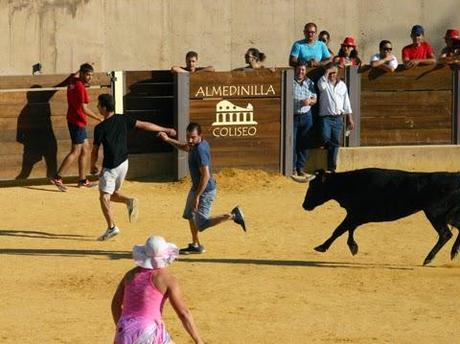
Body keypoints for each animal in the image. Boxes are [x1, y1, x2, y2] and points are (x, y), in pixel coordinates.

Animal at [300, 168, 460, 264]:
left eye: (313, 186)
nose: (304, 205)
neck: (350, 184)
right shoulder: (355, 215)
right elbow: (348, 229)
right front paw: (353, 247)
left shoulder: (355, 214)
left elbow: (339, 230)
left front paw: (321, 247)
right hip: (445, 214)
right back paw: (453, 253)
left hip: (436, 213)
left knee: (445, 234)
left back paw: (428, 259)